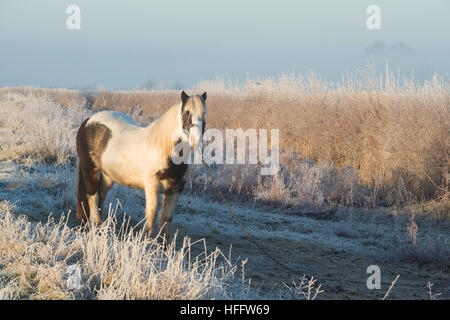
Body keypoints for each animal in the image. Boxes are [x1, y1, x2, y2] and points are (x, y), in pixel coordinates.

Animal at [75, 90, 207, 242]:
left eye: (204, 113)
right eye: (186, 113)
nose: (196, 140)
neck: (164, 149)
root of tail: (88, 121)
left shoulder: (176, 189)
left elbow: (167, 217)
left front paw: (164, 245)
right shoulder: (152, 185)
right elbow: (151, 213)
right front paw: (145, 241)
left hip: (108, 175)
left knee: (101, 197)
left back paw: (103, 228)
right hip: (90, 170)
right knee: (92, 197)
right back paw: (96, 226)